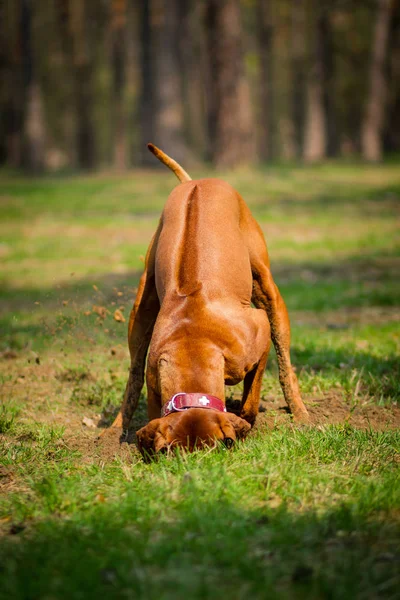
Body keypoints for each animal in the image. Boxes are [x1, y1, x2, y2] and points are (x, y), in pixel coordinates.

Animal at [104, 145, 308, 454]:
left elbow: (251, 399)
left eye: (218, 449)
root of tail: (195, 181)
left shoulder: (258, 335)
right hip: (141, 308)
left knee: (285, 363)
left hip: (267, 290)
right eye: (169, 454)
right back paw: (116, 427)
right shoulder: (155, 384)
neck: (193, 344)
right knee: (133, 374)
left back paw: (300, 412)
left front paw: (245, 417)